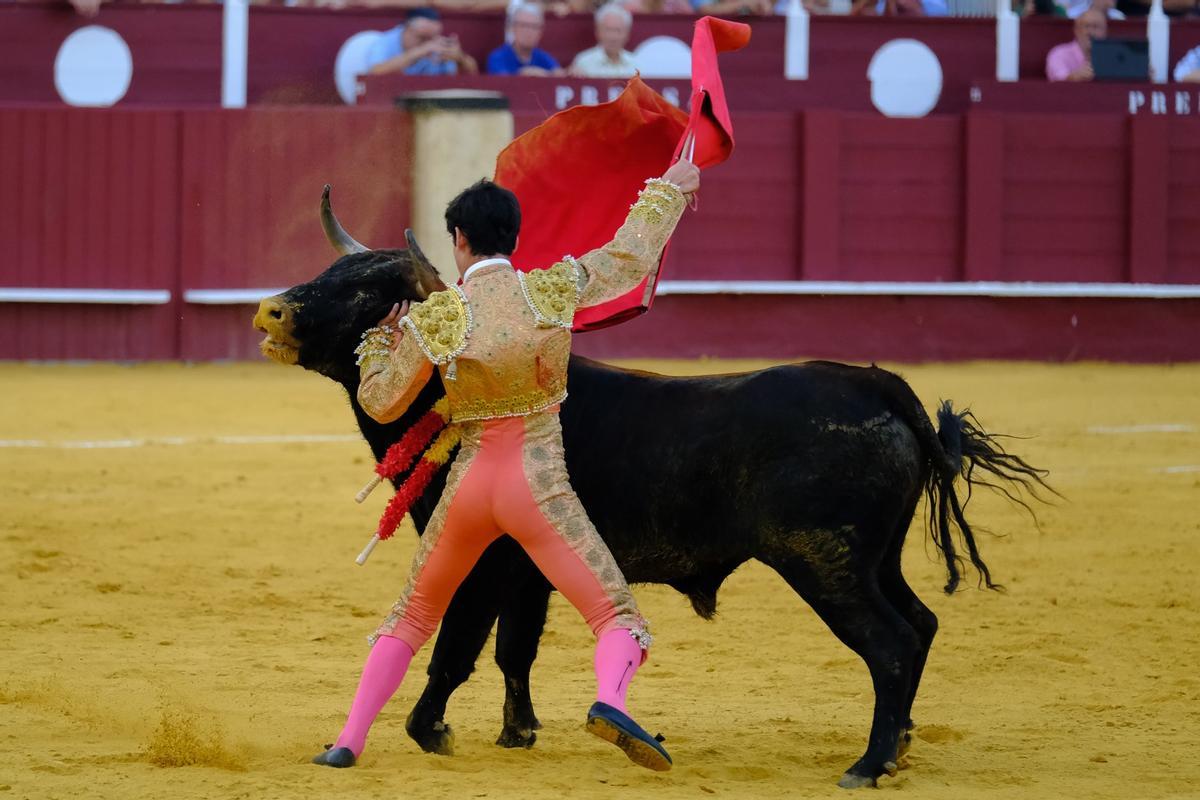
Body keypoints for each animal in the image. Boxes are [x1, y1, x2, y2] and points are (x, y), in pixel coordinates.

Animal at [253, 205, 1051, 786]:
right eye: (329, 269)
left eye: (365, 291)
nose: (271, 312)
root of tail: (877, 385)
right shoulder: (529, 573)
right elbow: (515, 651)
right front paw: (519, 733)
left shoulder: (483, 561)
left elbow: (458, 647)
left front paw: (435, 731)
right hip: (876, 559)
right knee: (920, 625)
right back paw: (900, 746)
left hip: (825, 564)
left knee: (889, 644)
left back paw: (867, 764)